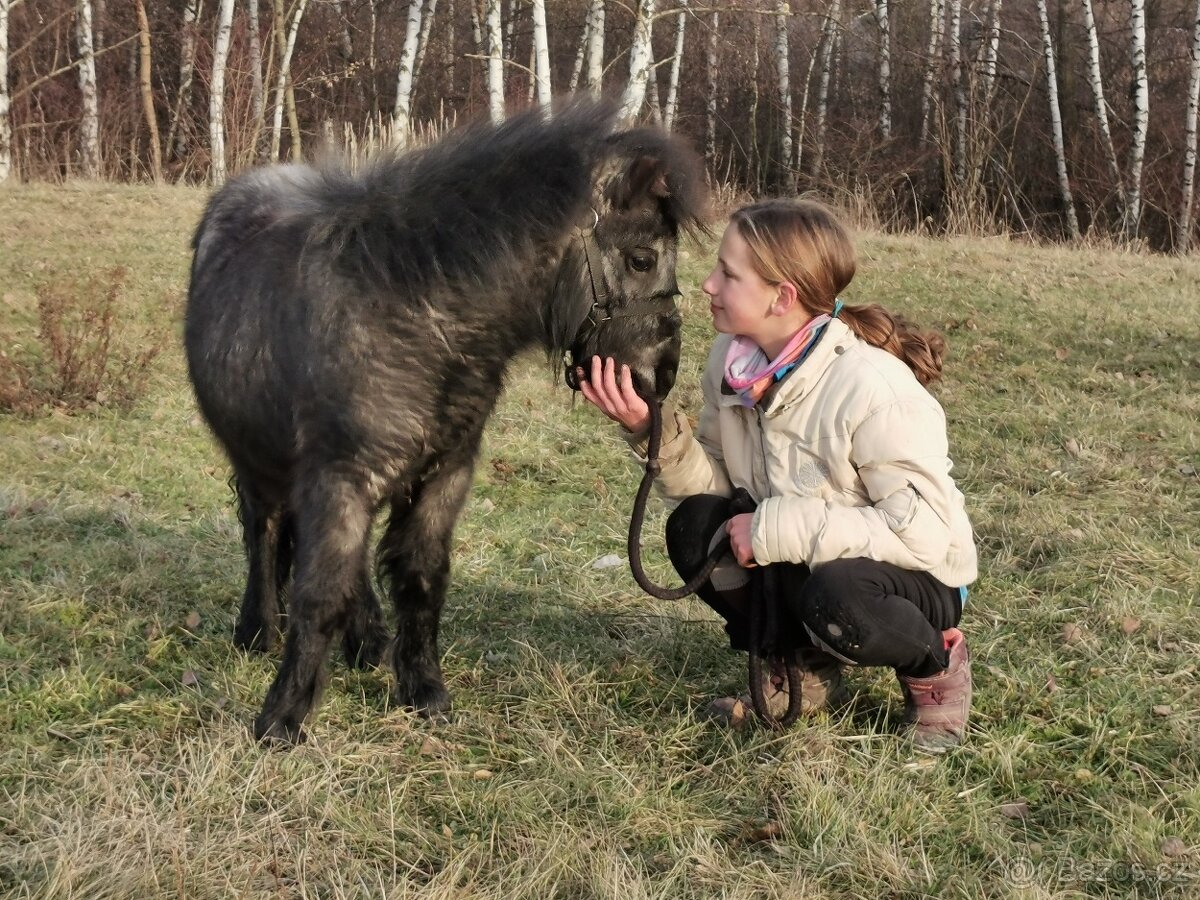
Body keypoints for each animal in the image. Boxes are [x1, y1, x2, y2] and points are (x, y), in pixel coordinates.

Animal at [186, 100, 705, 748]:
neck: (415, 308)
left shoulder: (444, 473)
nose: (664, 374)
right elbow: (319, 592)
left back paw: (367, 644)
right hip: (261, 458)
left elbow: (420, 579)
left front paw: (423, 691)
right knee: (265, 528)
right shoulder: (338, 477)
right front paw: (282, 718)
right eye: (641, 258)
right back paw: (258, 632)